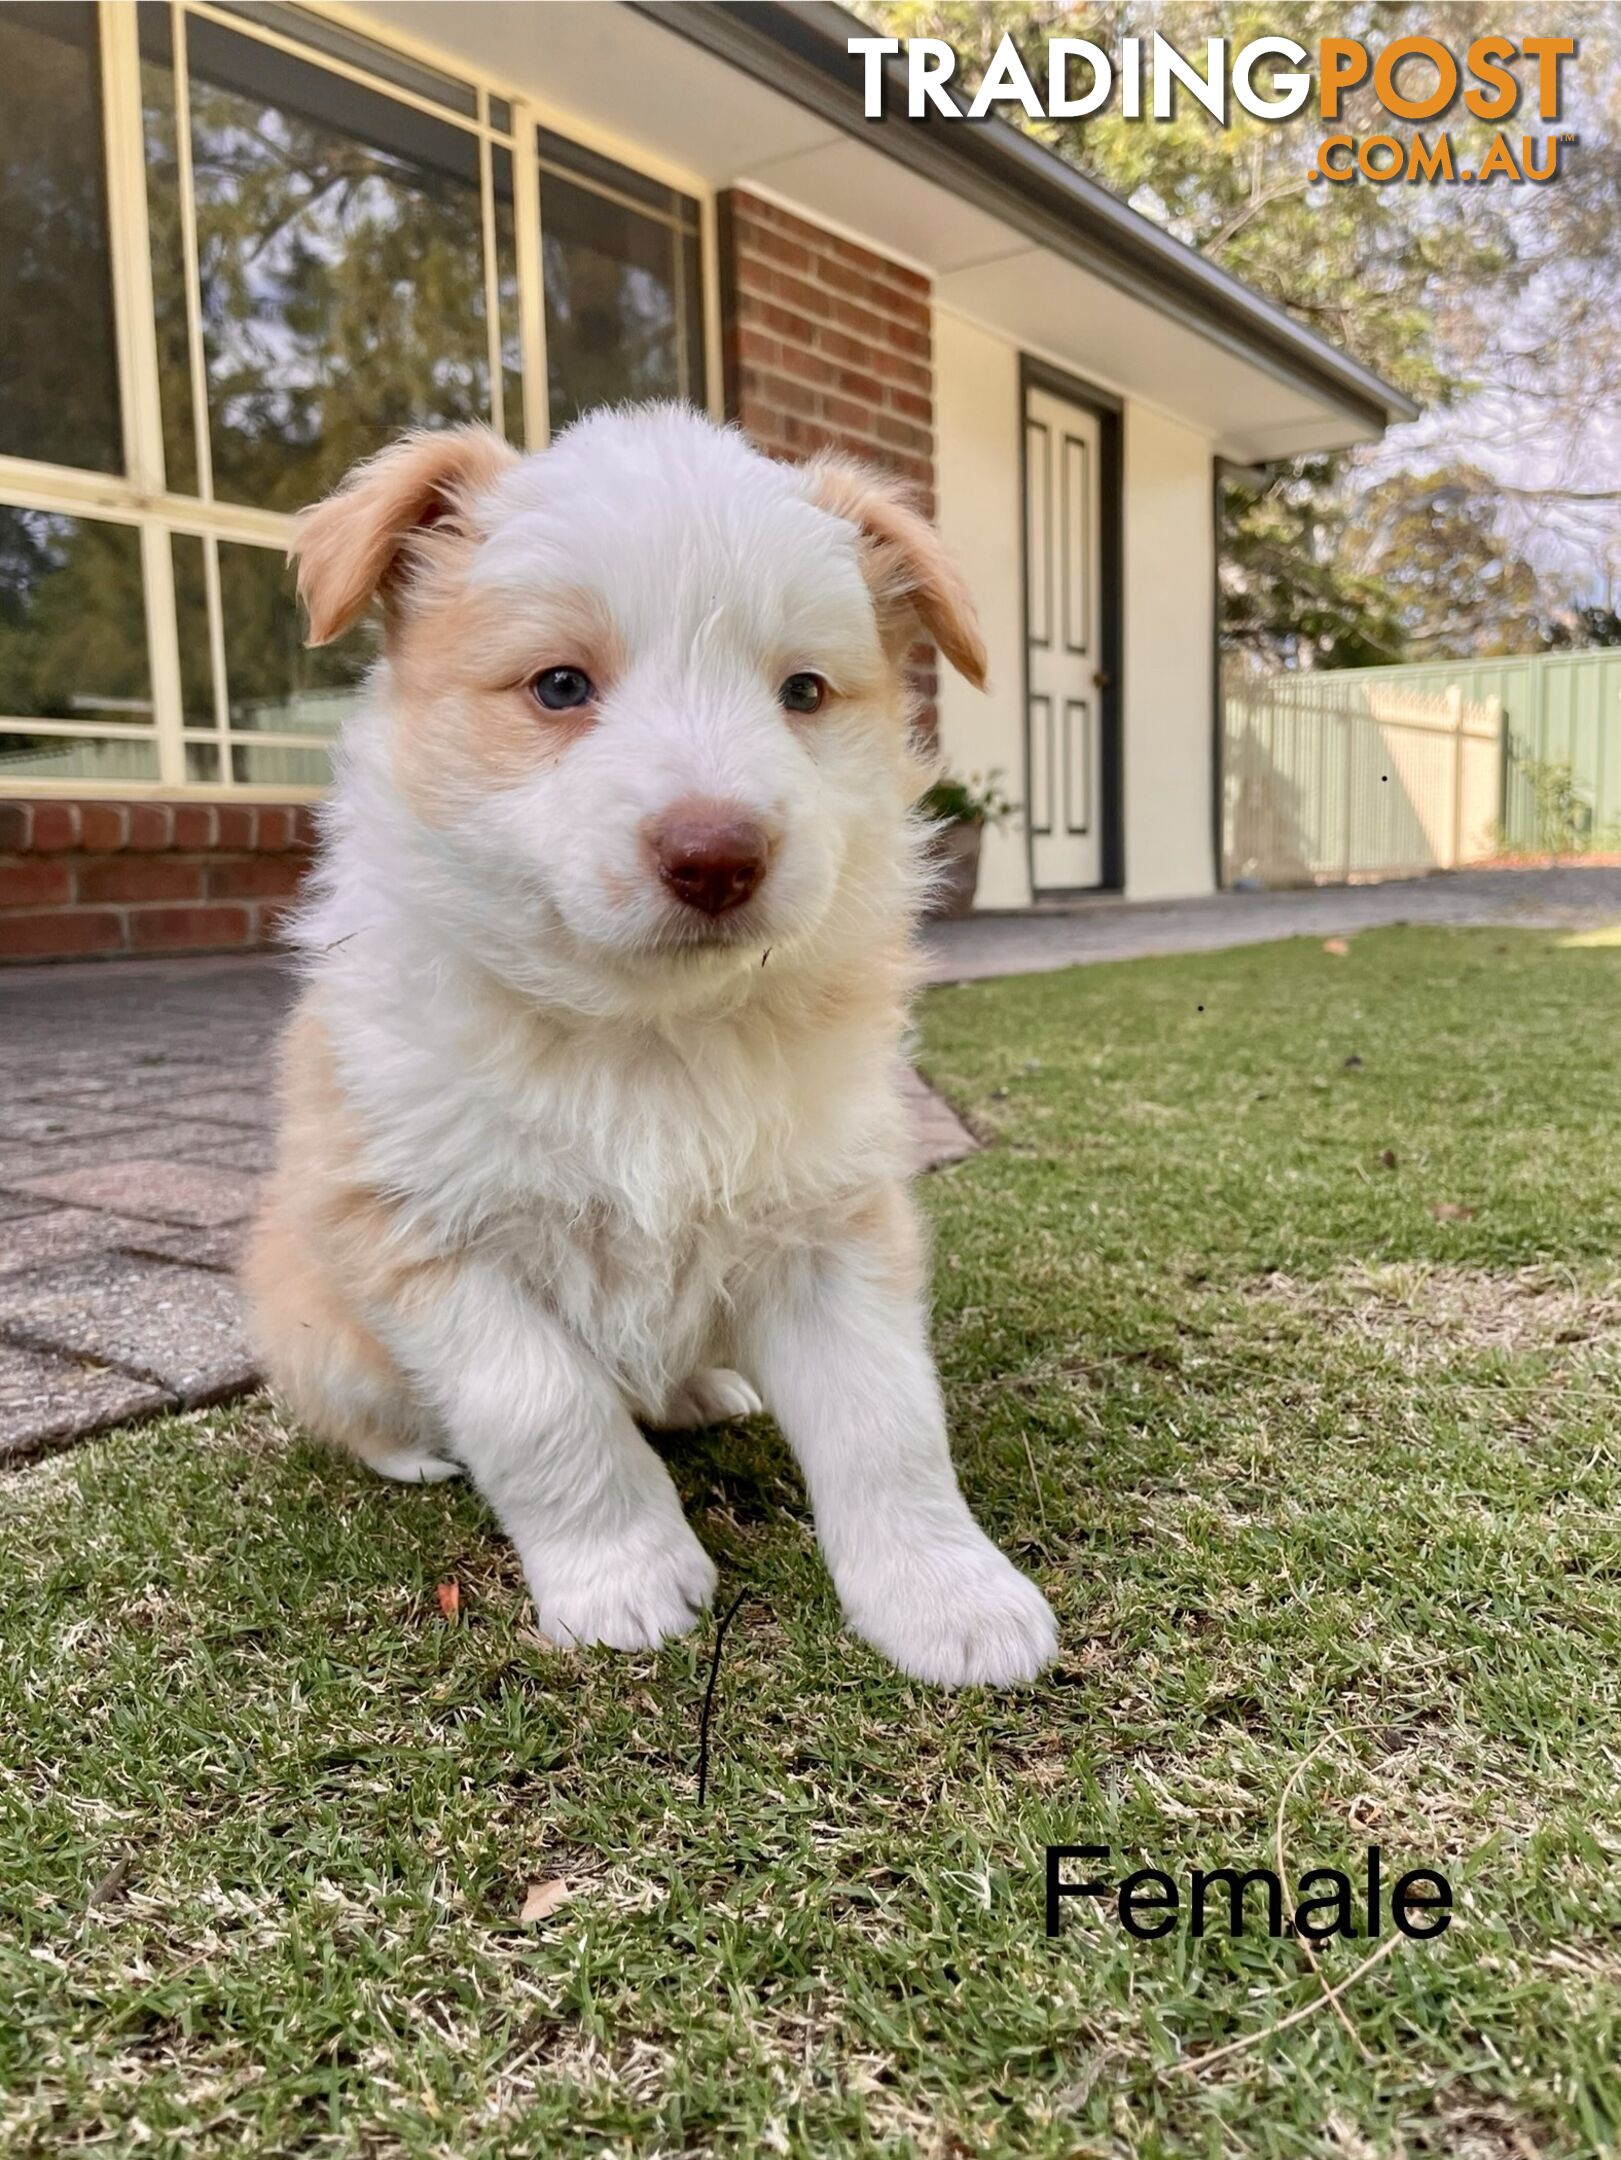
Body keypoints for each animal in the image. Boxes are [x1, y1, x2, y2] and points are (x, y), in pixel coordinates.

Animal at [237, 406, 1054, 1684]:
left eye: (802, 691)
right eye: (560, 685)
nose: (717, 856)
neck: (650, 1032)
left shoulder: (831, 1226)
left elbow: (885, 1422)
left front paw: (947, 1597)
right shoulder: (423, 1233)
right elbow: (547, 1410)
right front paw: (624, 1580)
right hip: (310, 1316)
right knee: (367, 1410)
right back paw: (416, 1451)